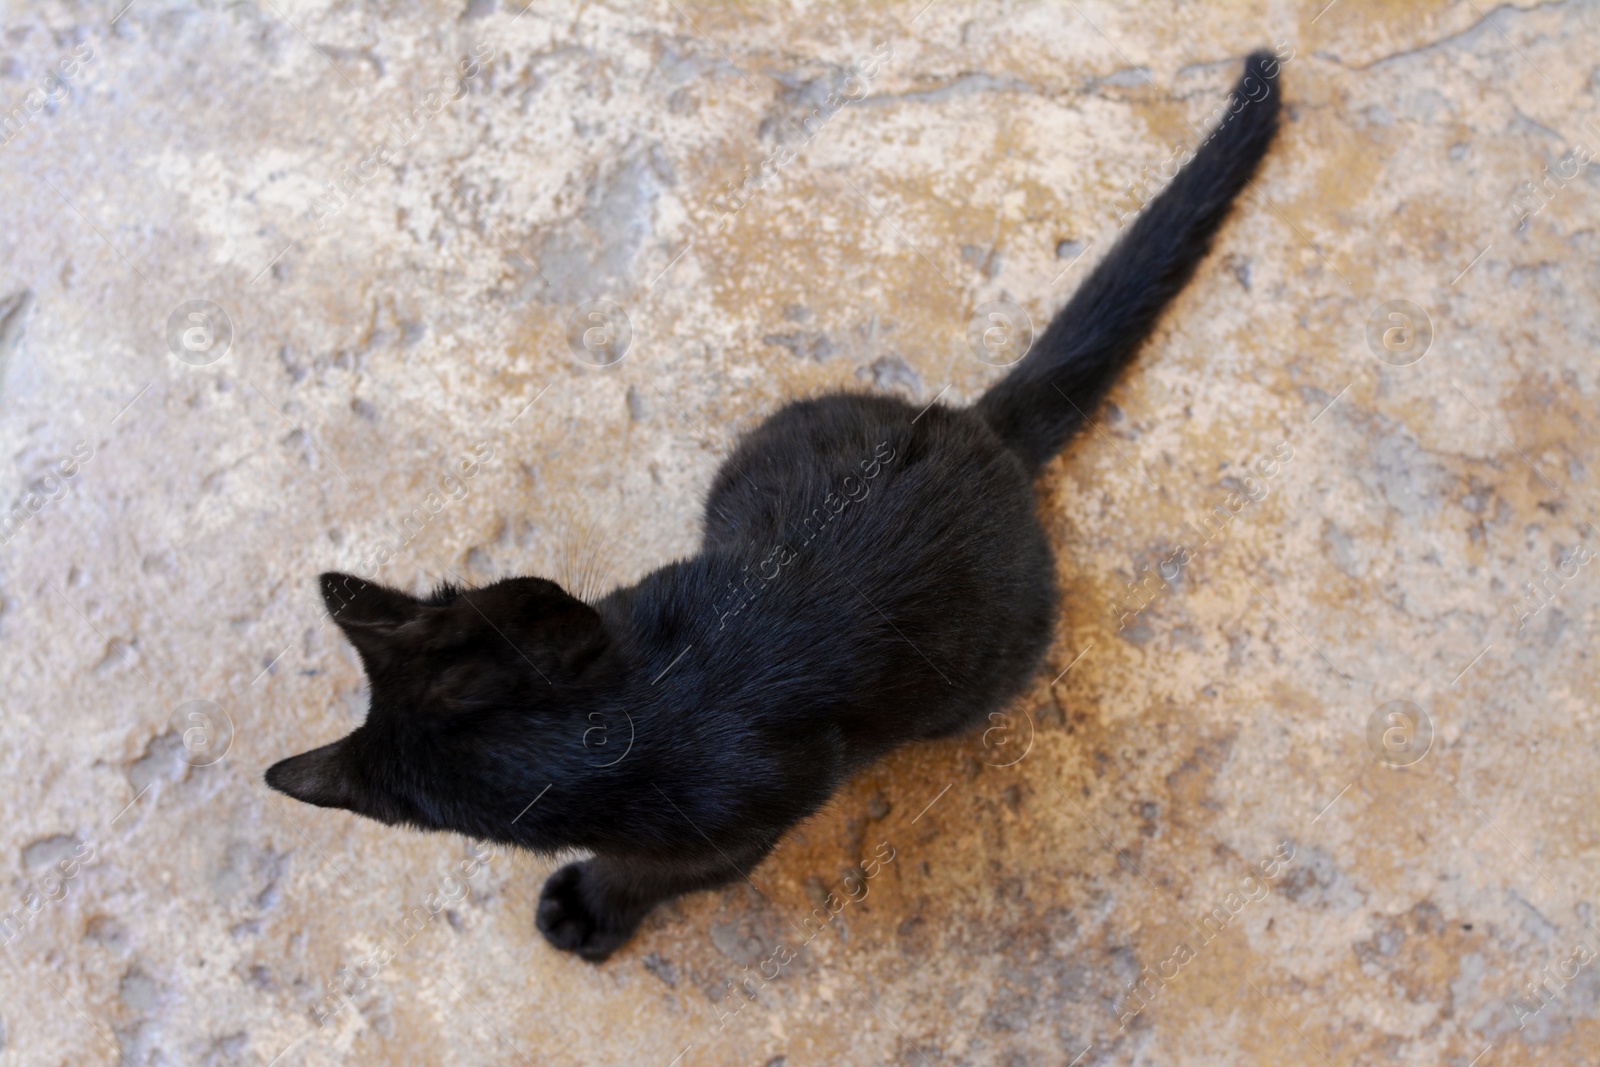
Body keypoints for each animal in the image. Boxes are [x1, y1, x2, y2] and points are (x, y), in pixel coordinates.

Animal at [268, 54, 1280, 966]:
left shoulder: (750, 818)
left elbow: (659, 871)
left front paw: (593, 904)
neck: (635, 713)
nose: (547, 590)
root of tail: (976, 428)